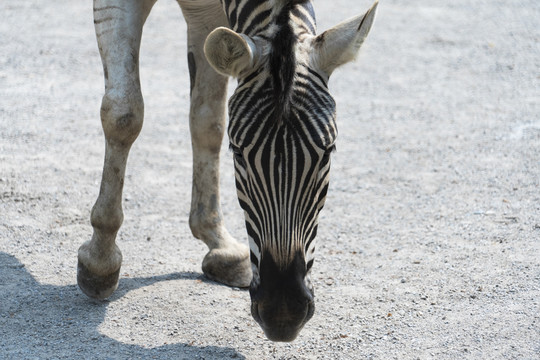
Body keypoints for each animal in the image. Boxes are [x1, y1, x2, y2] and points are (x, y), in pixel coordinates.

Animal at [78, 0, 378, 344]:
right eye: (238, 152)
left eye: (328, 151)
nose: (283, 315)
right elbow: (124, 114)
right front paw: (100, 260)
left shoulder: (208, 14)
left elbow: (208, 120)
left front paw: (218, 241)